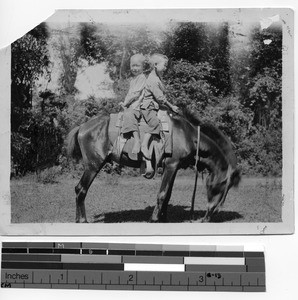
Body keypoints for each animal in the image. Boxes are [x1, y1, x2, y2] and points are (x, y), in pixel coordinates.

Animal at [66, 108, 241, 223]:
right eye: (223, 184)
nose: (213, 213)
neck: (187, 135)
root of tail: (82, 127)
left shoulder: (174, 167)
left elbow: (167, 194)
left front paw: (163, 218)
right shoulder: (171, 166)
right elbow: (162, 194)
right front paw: (155, 219)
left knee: (78, 189)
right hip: (93, 166)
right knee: (81, 189)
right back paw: (83, 220)